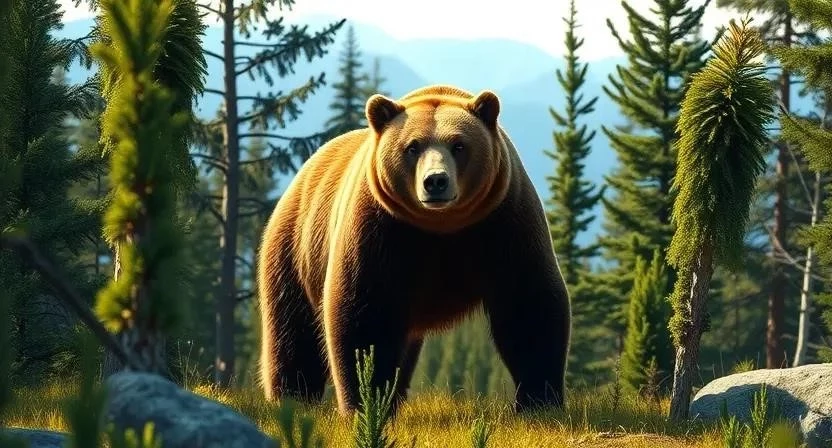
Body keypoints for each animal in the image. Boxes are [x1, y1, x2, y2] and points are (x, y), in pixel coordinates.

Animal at [256, 84, 571, 415]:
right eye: (412, 147)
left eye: (459, 145)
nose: (436, 181)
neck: (440, 226)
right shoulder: (380, 229)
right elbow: (364, 315)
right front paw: (365, 401)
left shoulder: (504, 220)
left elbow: (527, 304)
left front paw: (540, 401)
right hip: (295, 250)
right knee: (294, 331)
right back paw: (293, 397)